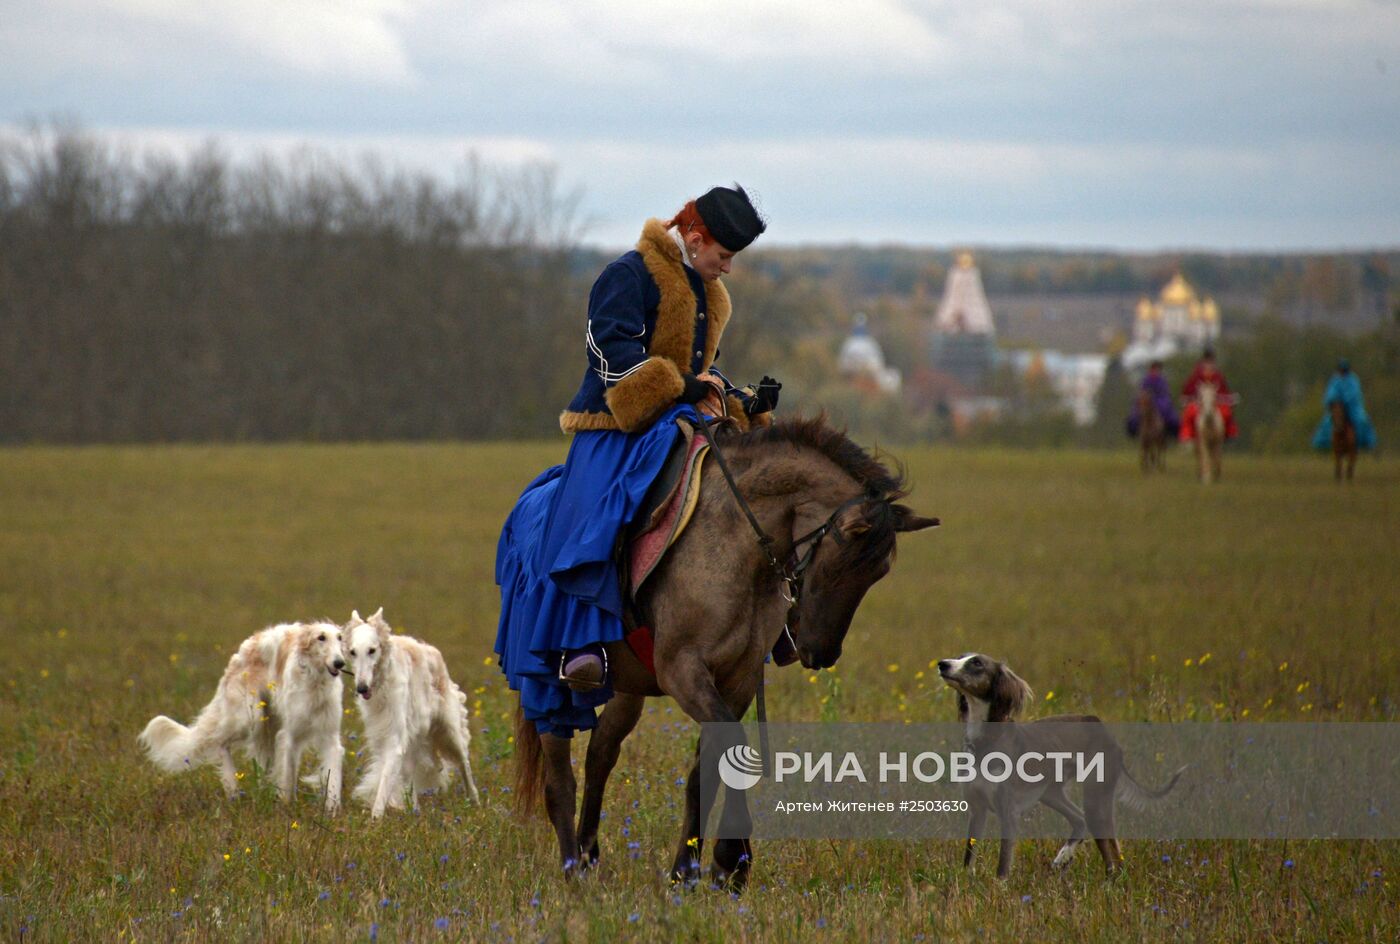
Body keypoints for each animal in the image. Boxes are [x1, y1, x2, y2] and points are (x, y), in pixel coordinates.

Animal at [140, 616, 348, 806]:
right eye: (321, 637)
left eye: (340, 638)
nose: (340, 663)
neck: (316, 684)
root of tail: (244, 649)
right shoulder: (288, 736)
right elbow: (287, 781)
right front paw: (287, 809)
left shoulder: (330, 736)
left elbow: (333, 781)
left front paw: (331, 814)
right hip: (249, 718)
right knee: (219, 741)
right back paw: (233, 789)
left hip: (266, 726)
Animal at [341, 607, 484, 812]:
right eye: (353, 652)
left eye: (372, 650)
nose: (362, 688)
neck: (383, 685)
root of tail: (433, 651)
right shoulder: (382, 735)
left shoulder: (395, 739)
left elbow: (384, 785)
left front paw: (375, 816)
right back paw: (414, 809)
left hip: (450, 732)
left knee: (465, 764)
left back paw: (475, 802)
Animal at [509, 414, 935, 885]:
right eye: (841, 562)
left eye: (877, 573)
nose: (820, 652)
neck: (734, 543)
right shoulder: (683, 670)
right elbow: (732, 745)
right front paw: (731, 858)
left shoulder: (739, 678)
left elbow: (708, 765)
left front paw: (689, 869)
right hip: (547, 684)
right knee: (559, 779)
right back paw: (573, 872)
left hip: (626, 686)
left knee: (600, 754)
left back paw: (588, 855)